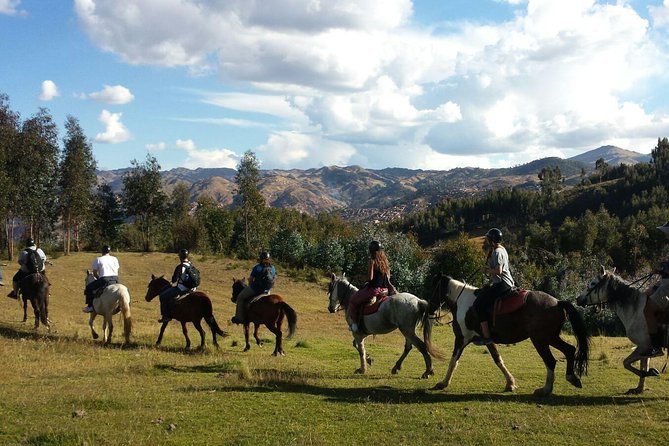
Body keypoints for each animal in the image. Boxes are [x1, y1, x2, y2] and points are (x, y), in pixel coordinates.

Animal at [428, 276, 588, 398]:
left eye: (433, 288)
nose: (429, 308)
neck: (462, 302)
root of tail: (557, 302)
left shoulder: (461, 339)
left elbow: (453, 361)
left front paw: (443, 383)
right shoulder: (487, 340)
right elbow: (498, 359)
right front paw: (510, 383)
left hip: (540, 339)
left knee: (550, 361)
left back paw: (545, 389)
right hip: (551, 337)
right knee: (569, 350)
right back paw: (572, 378)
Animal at [576, 264, 664, 394]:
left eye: (593, 283)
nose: (578, 299)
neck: (636, 310)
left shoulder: (644, 346)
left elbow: (627, 363)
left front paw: (649, 373)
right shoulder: (645, 347)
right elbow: (642, 363)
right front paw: (640, 387)